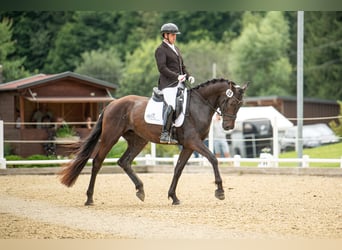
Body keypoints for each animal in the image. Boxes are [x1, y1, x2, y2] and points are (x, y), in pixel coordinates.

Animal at [58, 78, 246, 205]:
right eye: (231, 102)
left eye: (240, 104)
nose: (228, 126)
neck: (198, 105)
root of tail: (111, 104)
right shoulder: (193, 142)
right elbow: (213, 159)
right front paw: (220, 191)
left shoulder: (188, 145)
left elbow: (178, 168)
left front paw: (173, 196)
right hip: (110, 137)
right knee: (97, 162)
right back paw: (89, 198)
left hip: (138, 140)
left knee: (124, 161)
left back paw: (140, 190)